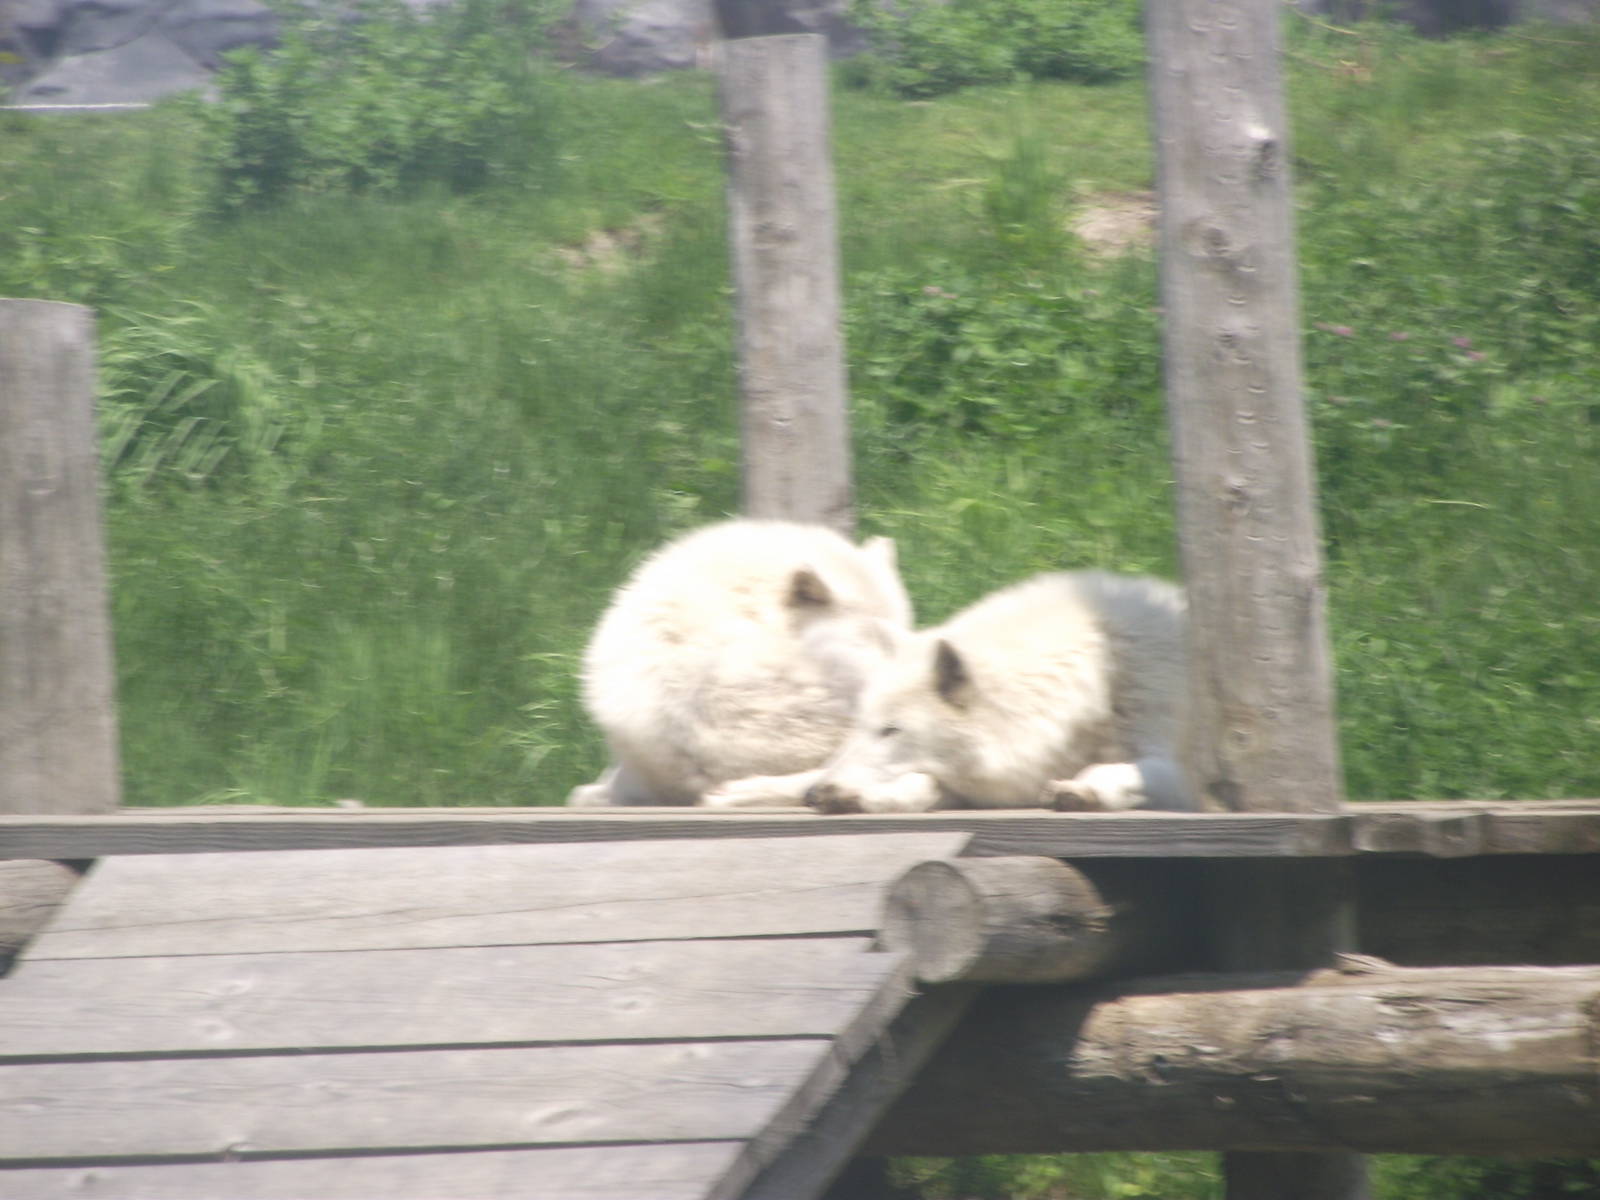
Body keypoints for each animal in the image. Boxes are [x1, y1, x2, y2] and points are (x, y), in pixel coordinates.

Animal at [793, 570, 1193, 814]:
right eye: (862, 725)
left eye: (891, 730)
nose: (811, 794)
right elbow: (924, 783)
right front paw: (860, 797)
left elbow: (1128, 772)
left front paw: (1082, 791)